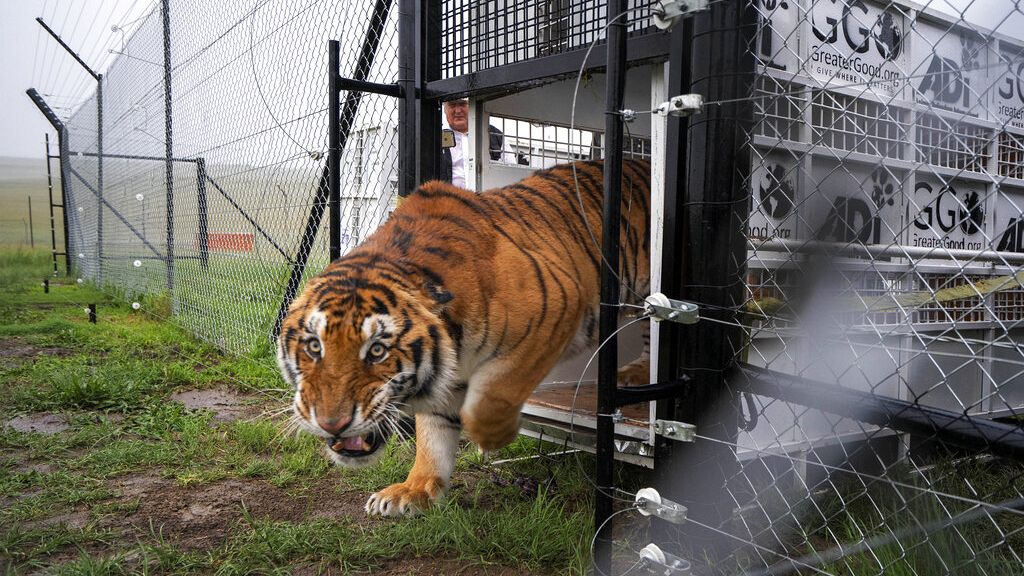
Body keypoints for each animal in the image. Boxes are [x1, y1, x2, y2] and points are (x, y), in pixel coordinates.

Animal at [276, 159, 651, 517]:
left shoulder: (558, 307)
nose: (332, 424)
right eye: (314, 346)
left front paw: (494, 436)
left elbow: (494, 395)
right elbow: (433, 435)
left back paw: (635, 374)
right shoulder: (446, 374)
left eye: (377, 351)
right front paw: (414, 490)